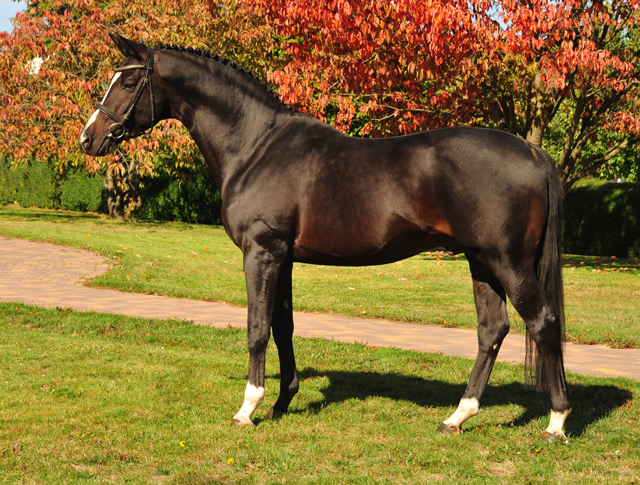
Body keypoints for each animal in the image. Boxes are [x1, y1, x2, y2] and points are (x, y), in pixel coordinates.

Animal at [79, 34, 568, 440]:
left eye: (128, 83)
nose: (88, 139)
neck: (255, 146)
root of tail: (532, 150)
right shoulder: (283, 257)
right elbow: (283, 326)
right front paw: (281, 402)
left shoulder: (261, 252)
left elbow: (257, 328)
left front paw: (247, 409)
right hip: (480, 261)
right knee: (492, 330)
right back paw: (457, 417)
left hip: (507, 262)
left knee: (543, 324)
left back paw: (556, 422)